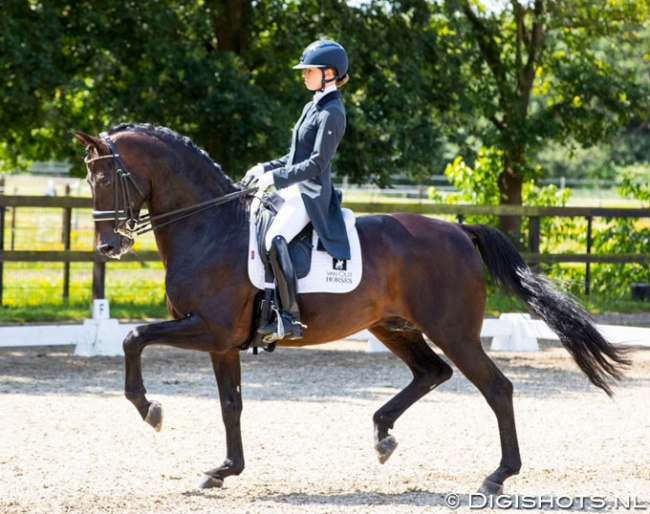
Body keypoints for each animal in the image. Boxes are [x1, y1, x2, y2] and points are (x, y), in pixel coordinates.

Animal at [72, 123, 628, 492]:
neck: (209, 227)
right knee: (432, 373)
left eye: (106, 179)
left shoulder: (207, 328)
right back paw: (383, 435)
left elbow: (133, 338)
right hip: (392, 326)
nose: (108, 248)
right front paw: (224, 470)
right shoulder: (222, 341)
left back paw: (497, 476)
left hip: (453, 330)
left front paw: (151, 410)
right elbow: (231, 404)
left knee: (496, 387)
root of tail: (458, 231)